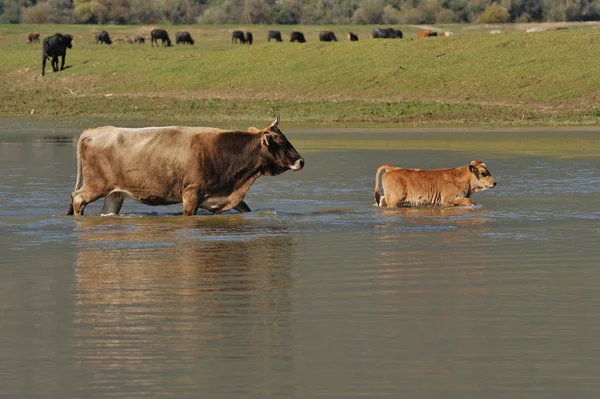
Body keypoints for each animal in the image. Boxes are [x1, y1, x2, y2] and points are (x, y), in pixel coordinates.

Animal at [64, 114, 304, 217]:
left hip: (114, 194)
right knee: (78, 198)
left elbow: (245, 209)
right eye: (281, 141)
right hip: (96, 185)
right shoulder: (191, 194)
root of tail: (93, 131)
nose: (301, 160)